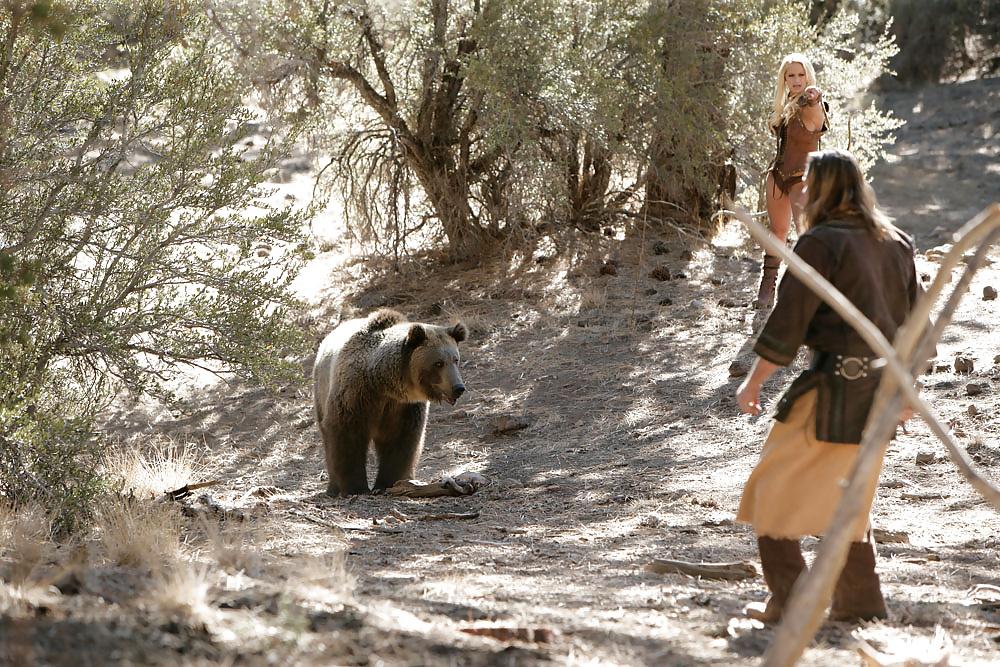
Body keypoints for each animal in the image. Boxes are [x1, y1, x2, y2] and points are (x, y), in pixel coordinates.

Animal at [313, 309, 468, 497]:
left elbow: (399, 442)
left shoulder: (404, 407)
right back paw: (333, 488)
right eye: (438, 363)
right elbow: (347, 436)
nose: (458, 387)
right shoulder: (355, 395)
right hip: (321, 391)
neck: (382, 383)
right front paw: (356, 487)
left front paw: (386, 484)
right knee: (328, 439)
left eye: (455, 359)